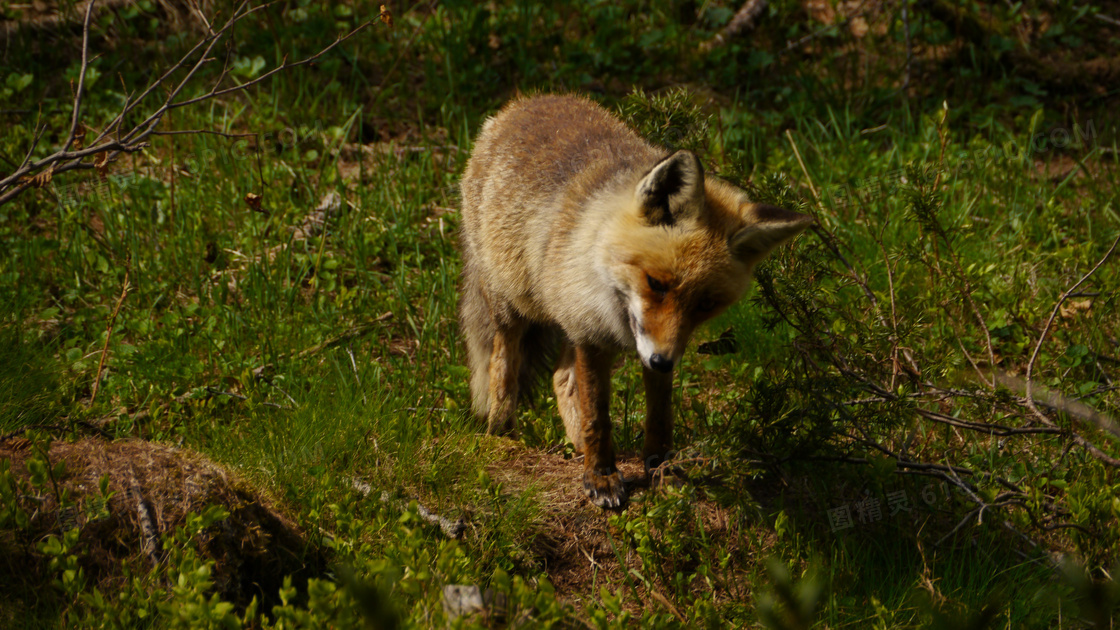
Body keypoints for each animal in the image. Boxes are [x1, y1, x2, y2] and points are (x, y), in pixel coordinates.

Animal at [454, 94, 815, 504]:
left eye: (705, 304)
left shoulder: (645, 343)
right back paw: (502, 434)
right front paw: (601, 476)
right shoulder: (589, 333)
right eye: (656, 283)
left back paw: (575, 445)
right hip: (511, 307)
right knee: (503, 367)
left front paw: (661, 470)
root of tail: (527, 101)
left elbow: (659, 417)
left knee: (561, 378)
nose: (662, 361)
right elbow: (598, 416)